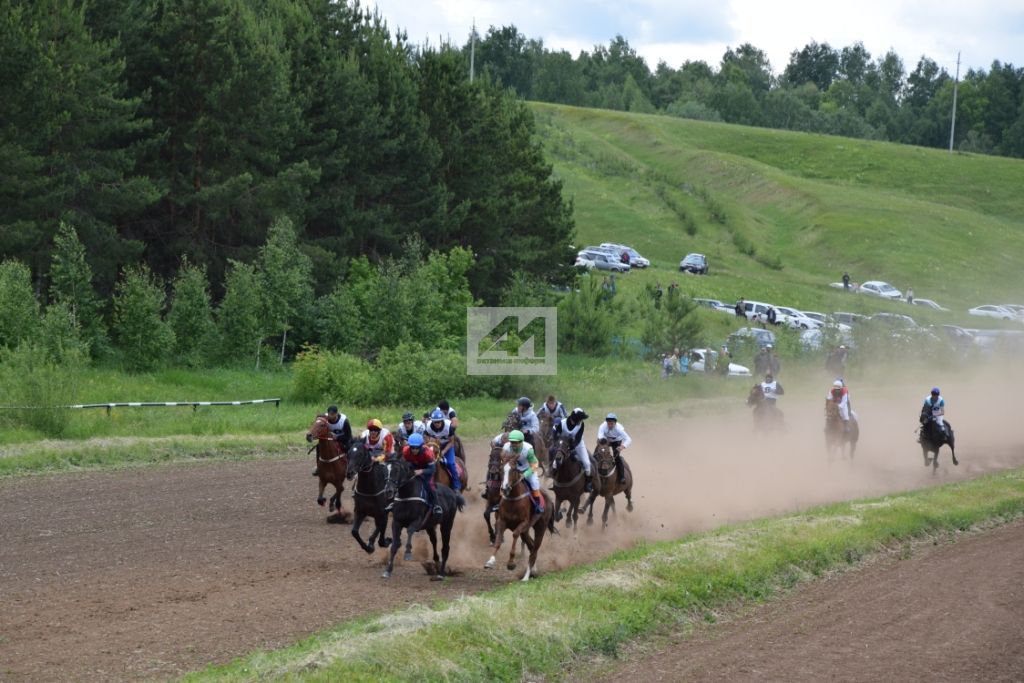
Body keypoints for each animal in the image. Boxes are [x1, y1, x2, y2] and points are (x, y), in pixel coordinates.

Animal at [483, 450, 557, 581]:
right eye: (501, 469)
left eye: (513, 469)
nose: (505, 488)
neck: (513, 499)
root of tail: (549, 500)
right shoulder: (502, 521)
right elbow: (497, 542)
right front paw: (490, 561)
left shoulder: (523, 523)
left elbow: (514, 534)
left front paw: (511, 563)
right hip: (526, 531)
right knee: (531, 547)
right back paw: (533, 570)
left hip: (540, 527)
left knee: (534, 549)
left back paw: (526, 577)